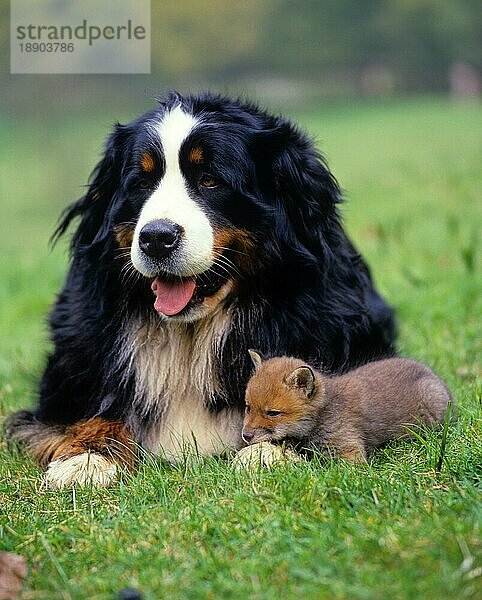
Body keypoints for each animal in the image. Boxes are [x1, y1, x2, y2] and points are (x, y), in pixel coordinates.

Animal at [5, 92, 396, 488]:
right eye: (141, 183)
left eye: (209, 180)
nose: (156, 238)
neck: (190, 335)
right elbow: (95, 408)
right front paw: (87, 457)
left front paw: (267, 452)